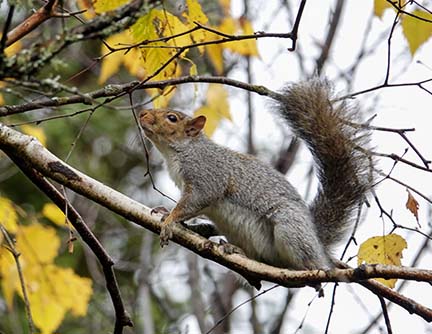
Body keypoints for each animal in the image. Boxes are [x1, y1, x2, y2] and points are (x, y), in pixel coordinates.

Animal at [139, 79, 372, 272]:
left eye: (172, 118)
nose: (142, 114)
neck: (179, 152)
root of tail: (316, 238)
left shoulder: (207, 173)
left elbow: (196, 200)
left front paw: (170, 220)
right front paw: (167, 213)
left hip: (290, 227)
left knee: (300, 260)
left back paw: (312, 270)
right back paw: (235, 250)